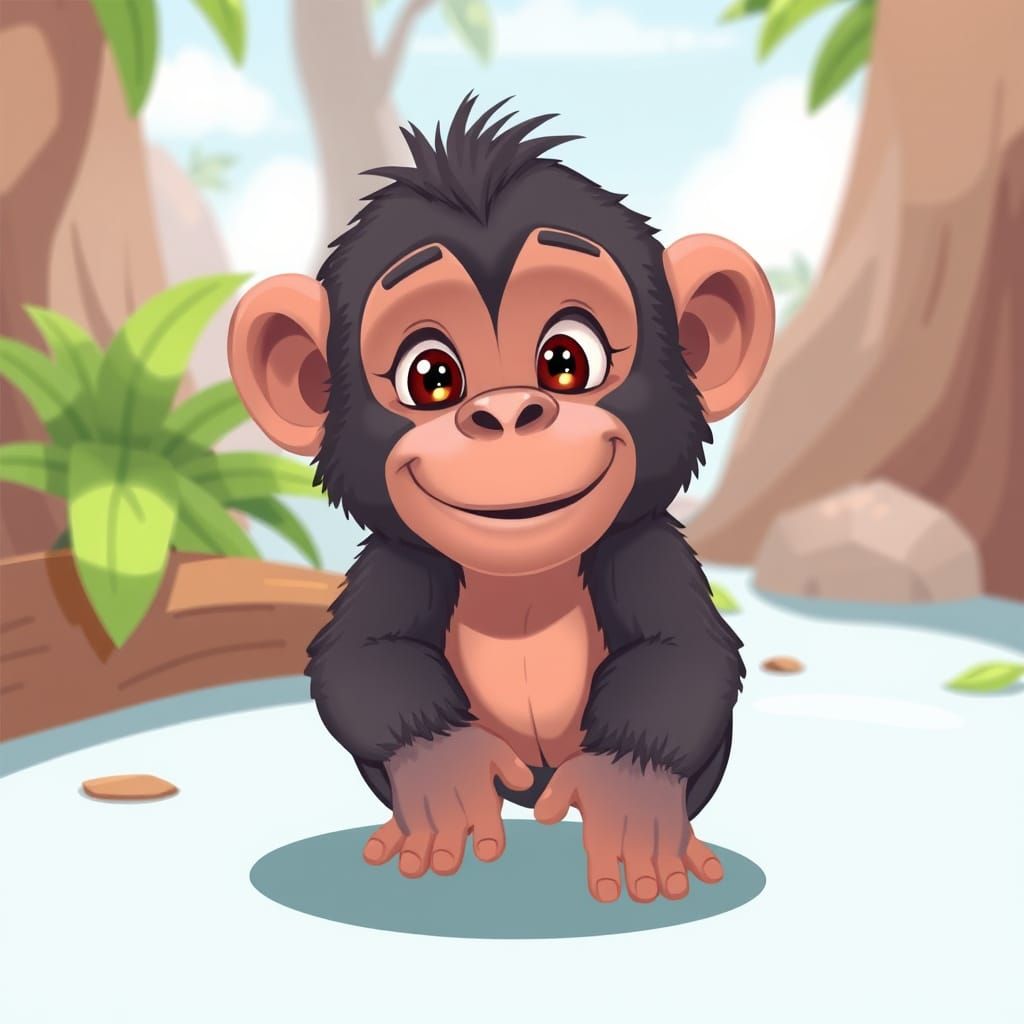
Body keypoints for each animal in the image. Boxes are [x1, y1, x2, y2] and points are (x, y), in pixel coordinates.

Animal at [228, 95, 773, 904]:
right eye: (431, 376)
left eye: (566, 359)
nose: (508, 412)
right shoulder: (402, 559)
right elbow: (363, 656)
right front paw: (442, 772)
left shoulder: (643, 546)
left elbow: (682, 654)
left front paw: (628, 795)